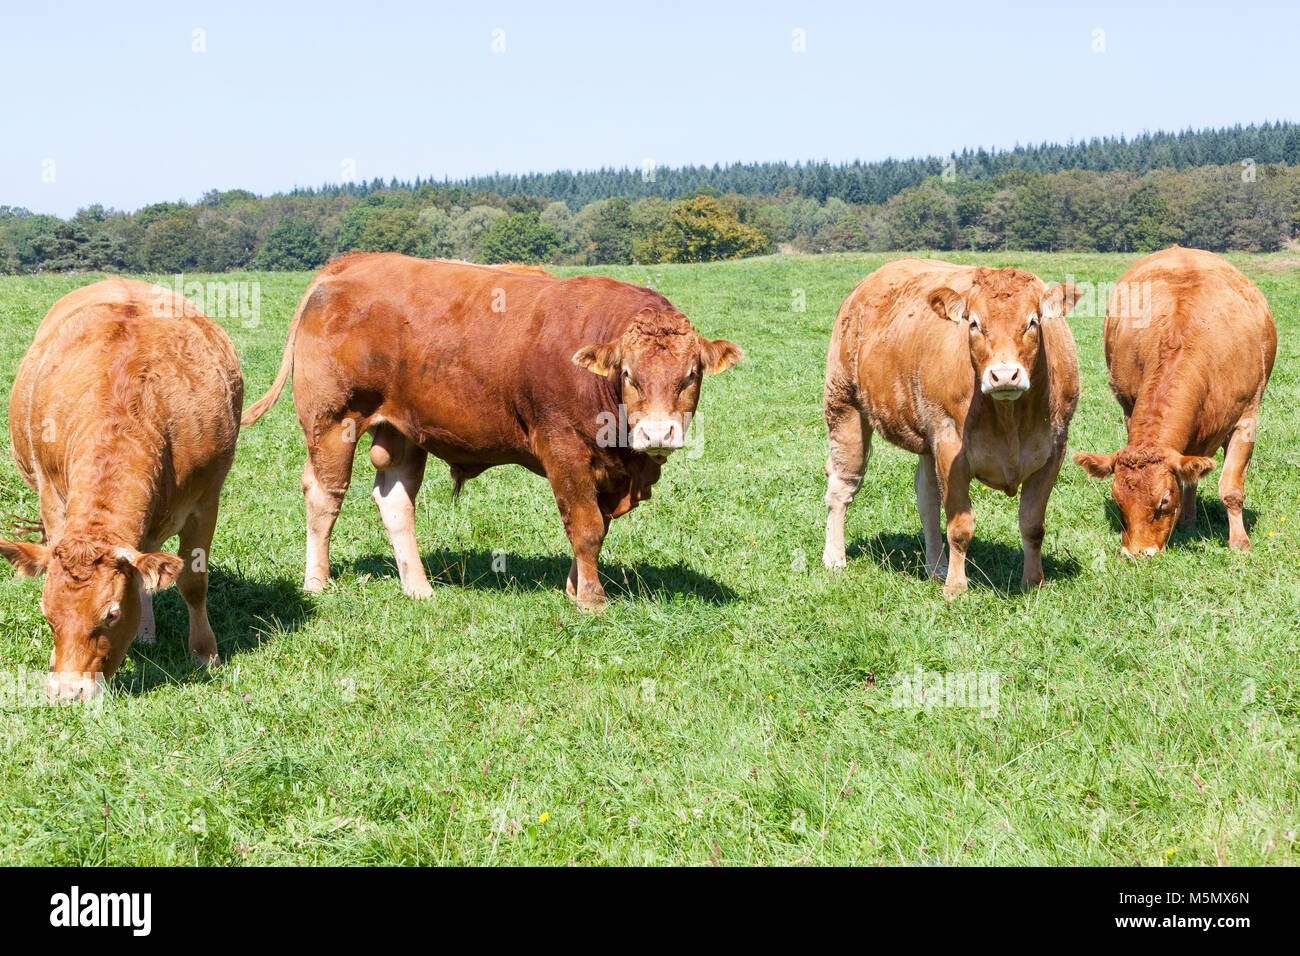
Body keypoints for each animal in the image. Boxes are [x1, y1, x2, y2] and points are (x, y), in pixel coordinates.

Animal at [0, 278, 243, 698]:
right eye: (47, 615)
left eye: (111, 615)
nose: (67, 693)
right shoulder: (52, 497)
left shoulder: (204, 501)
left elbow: (193, 582)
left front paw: (204, 654)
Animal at [239, 252, 741, 610]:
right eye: (630, 375)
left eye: (690, 375)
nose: (658, 434)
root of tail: (352, 262)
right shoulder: (565, 451)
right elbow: (585, 527)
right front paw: (591, 601)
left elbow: (593, 528)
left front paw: (573, 588)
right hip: (332, 422)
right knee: (324, 496)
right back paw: (316, 582)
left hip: (402, 431)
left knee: (394, 499)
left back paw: (418, 587)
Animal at [823, 259, 1080, 596]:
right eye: (974, 324)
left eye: (1033, 322)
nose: (1004, 375)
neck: (1010, 419)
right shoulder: (950, 445)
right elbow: (960, 526)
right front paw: (956, 587)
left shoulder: (1053, 450)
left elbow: (1033, 524)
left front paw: (1033, 581)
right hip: (843, 404)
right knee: (842, 485)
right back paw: (834, 558)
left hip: (924, 434)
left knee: (927, 498)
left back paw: (936, 567)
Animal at [1073, 246, 1276, 555]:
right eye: (1118, 502)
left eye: (1164, 500)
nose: (1137, 555)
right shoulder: (1131, 410)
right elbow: (1186, 475)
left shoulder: (1246, 420)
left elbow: (1230, 489)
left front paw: (1240, 544)